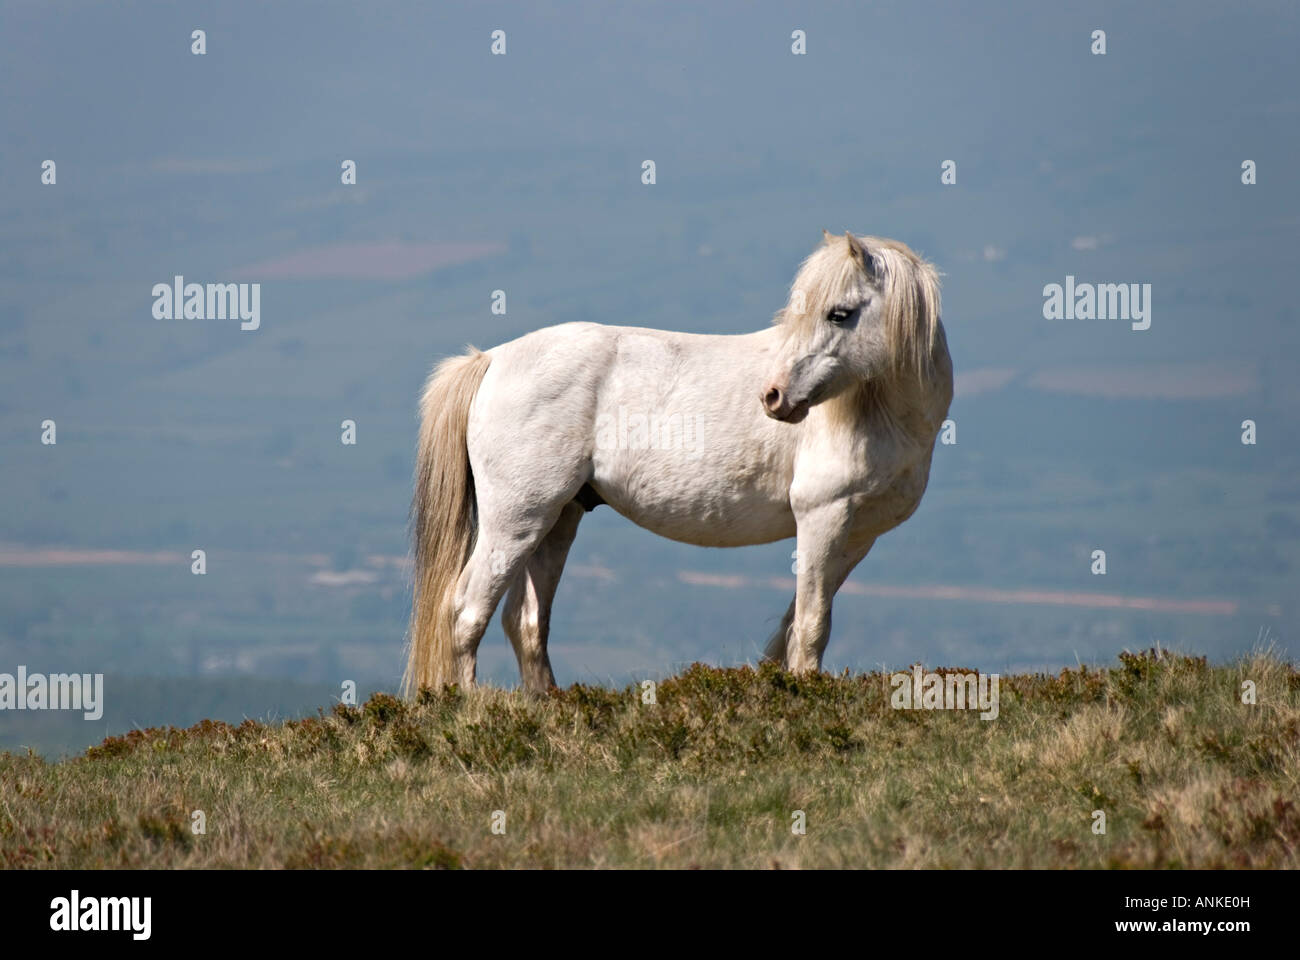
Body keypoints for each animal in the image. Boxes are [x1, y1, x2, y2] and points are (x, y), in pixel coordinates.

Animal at [404, 231, 952, 695]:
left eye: (839, 314)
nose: (773, 397)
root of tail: (492, 359)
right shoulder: (823, 517)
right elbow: (814, 624)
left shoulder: (856, 536)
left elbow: (795, 624)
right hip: (515, 521)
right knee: (466, 611)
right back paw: (469, 707)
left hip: (558, 520)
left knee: (525, 620)